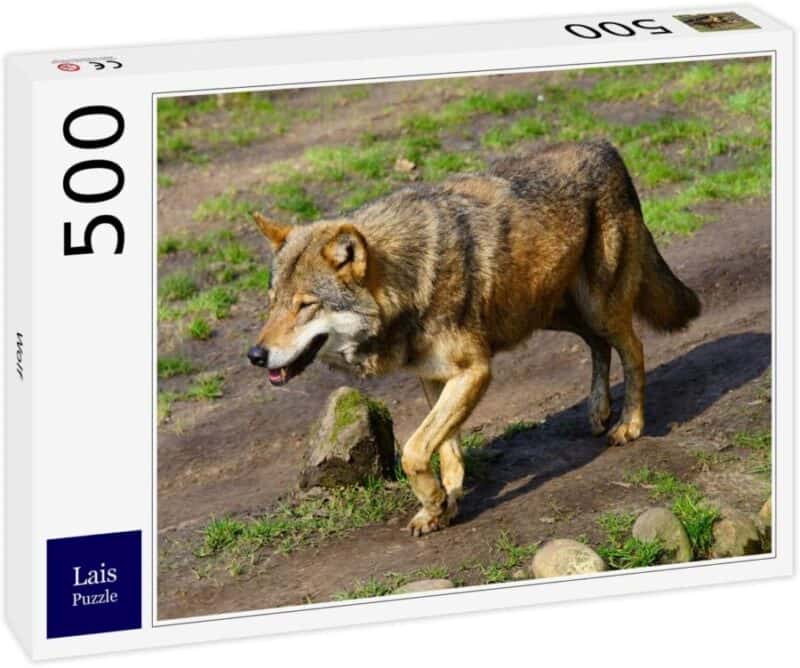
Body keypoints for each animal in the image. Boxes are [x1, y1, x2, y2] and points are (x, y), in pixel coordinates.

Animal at [247, 140, 701, 536]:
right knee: (598, 344)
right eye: (272, 304)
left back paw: (629, 424)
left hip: (597, 307)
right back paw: (598, 411)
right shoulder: (434, 377)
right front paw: (444, 504)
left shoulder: (475, 371)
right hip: (547, 314)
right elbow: (444, 447)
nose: (255, 355)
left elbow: (414, 450)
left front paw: (434, 500)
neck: (409, 278)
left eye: (305, 306)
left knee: (634, 349)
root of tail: (606, 148)